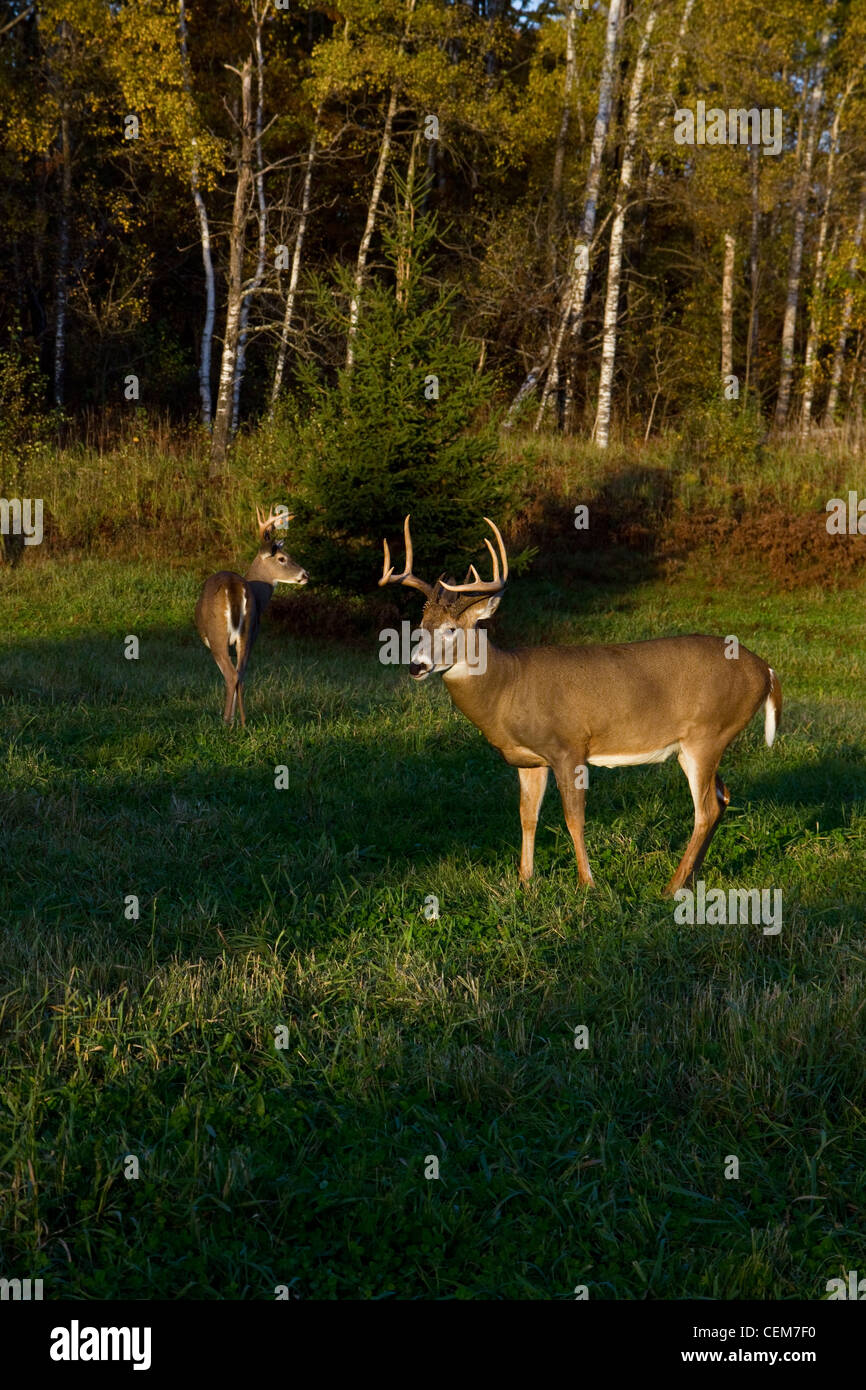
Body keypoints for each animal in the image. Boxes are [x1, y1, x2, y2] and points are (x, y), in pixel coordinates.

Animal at [195, 508, 308, 728]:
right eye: (282, 558)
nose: (305, 574)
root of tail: (234, 587)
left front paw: (229, 719)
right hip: (248, 632)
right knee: (240, 673)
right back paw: (243, 722)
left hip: (217, 634)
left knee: (231, 675)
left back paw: (226, 722)